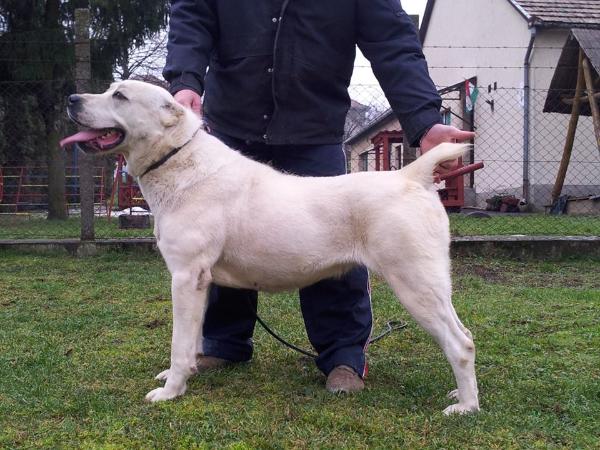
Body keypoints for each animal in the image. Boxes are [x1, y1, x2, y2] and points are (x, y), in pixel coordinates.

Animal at [61, 80, 480, 414]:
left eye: (119, 95)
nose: (72, 98)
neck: (178, 159)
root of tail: (411, 176)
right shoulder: (201, 281)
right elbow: (193, 337)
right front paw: (187, 372)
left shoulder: (184, 276)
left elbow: (180, 342)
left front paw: (171, 391)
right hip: (430, 284)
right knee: (464, 334)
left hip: (414, 283)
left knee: (460, 344)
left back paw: (465, 407)